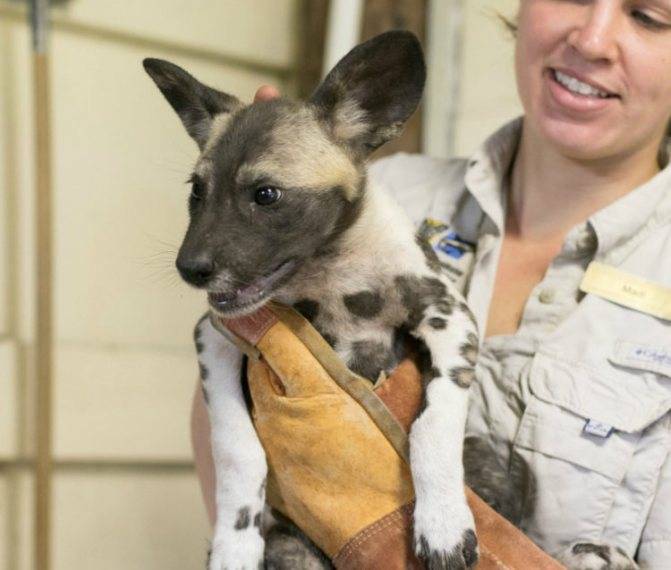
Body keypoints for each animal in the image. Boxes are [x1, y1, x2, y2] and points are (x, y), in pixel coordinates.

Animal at [147, 32, 480, 568]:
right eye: (197, 193)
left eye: (266, 195)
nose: (190, 268)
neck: (332, 275)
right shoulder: (215, 338)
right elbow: (237, 448)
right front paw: (234, 544)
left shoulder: (450, 319)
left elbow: (434, 426)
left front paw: (444, 521)